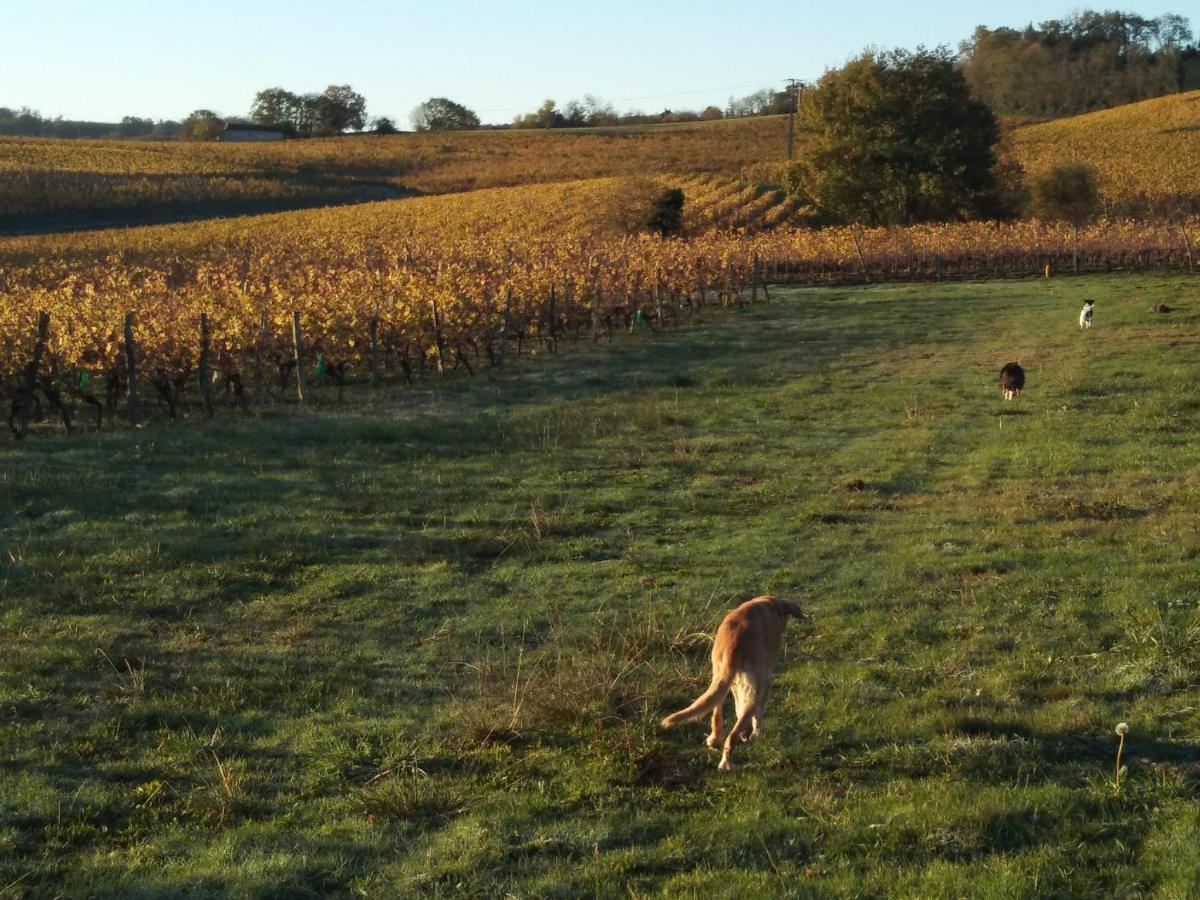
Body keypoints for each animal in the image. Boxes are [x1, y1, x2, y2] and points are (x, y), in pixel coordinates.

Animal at [657, 595, 806, 772]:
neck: (771, 605)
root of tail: (734, 643)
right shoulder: (765, 681)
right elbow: (756, 715)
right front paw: (752, 733)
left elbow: (737, 709)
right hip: (752, 690)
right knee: (734, 733)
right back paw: (730, 759)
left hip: (720, 679)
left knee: (717, 715)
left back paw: (715, 740)